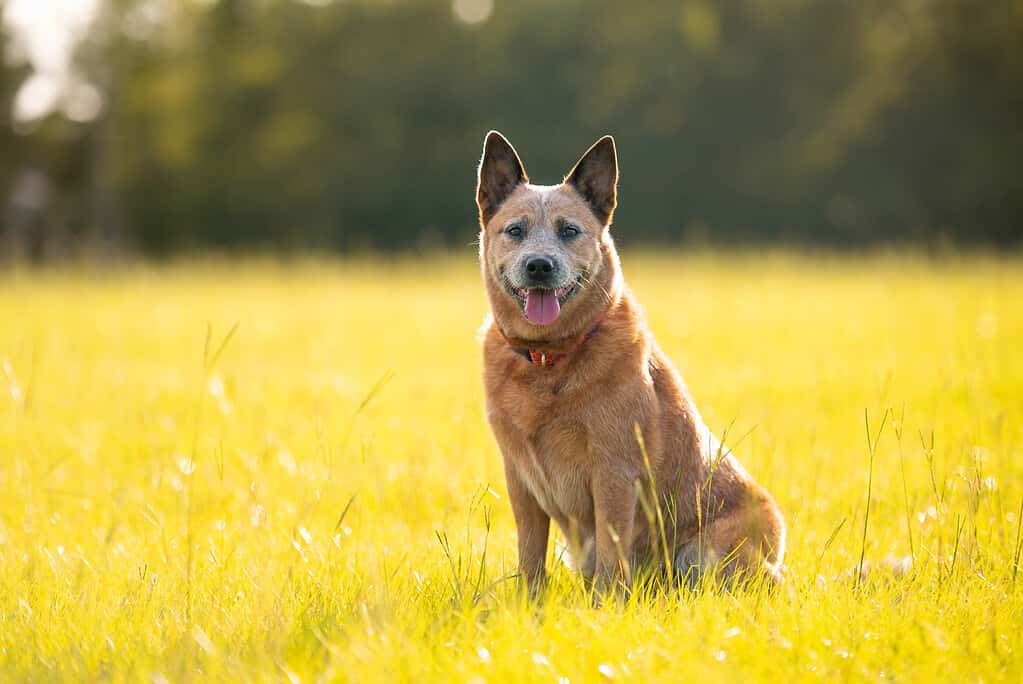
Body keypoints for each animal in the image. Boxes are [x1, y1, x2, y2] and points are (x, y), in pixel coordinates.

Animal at [474, 131, 785, 593]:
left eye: (569, 231)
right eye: (515, 230)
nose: (539, 266)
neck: (548, 360)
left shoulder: (614, 471)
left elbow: (611, 553)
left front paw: (606, 605)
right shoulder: (520, 478)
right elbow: (530, 555)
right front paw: (529, 604)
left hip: (706, 555)